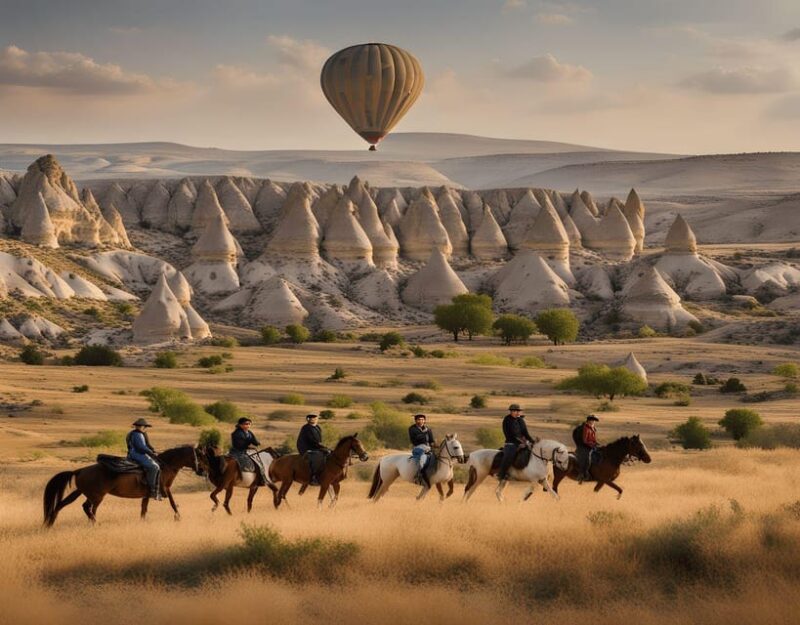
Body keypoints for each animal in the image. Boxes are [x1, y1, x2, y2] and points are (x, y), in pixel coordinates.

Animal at [42, 445, 207, 527]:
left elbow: (144, 509)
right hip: (97, 496)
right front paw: (178, 517)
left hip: (84, 493)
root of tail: (80, 470)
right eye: (200, 456)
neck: (165, 465)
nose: (204, 471)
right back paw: (95, 524)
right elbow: (173, 503)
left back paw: (51, 522)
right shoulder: (165, 489)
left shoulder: (148, 494)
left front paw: (142, 522)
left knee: (63, 504)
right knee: (89, 508)